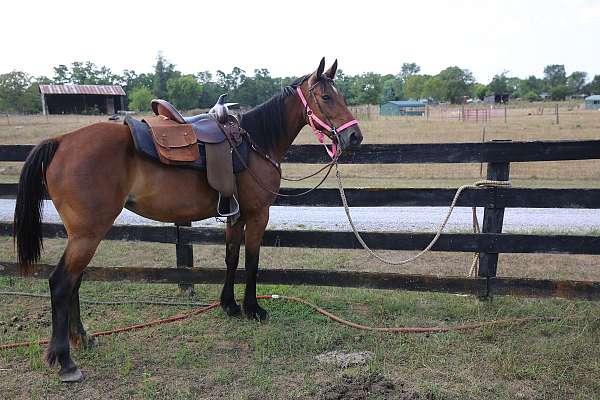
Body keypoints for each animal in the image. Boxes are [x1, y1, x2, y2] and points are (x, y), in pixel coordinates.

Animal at [11, 58, 364, 382]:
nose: (355, 137)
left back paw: (82, 339)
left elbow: (231, 258)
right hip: (88, 234)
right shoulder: (257, 215)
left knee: (75, 282)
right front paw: (253, 308)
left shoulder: (235, 217)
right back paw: (66, 361)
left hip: (84, 235)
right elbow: (251, 260)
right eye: (327, 97)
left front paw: (229, 306)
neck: (254, 143)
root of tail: (61, 142)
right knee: (61, 283)